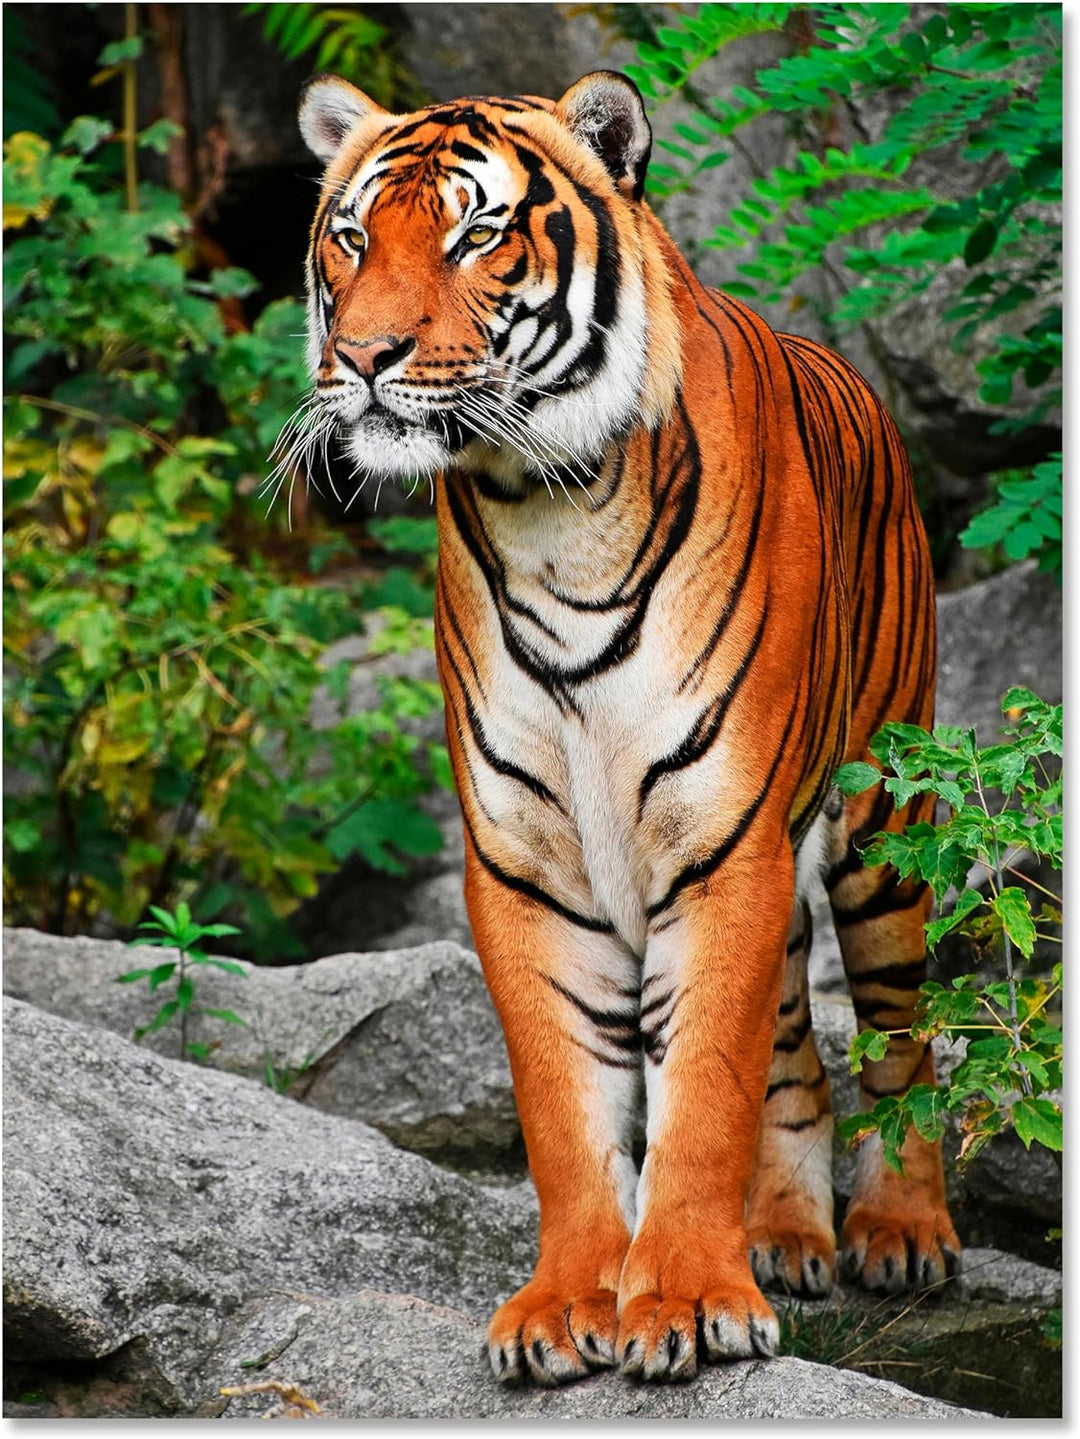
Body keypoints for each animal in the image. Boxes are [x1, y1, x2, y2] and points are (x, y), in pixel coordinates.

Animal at [296, 69, 960, 1386]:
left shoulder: (726, 842)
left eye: (476, 233)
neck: (545, 510)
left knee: (899, 1032)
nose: (364, 357)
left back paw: (901, 1229)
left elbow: (700, 1089)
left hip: (881, 828)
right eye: (350, 237)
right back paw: (787, 1233)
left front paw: (688, 1299)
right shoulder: (525, 862)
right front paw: (567, 1306)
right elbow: (569, 1105)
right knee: (797, 1047)